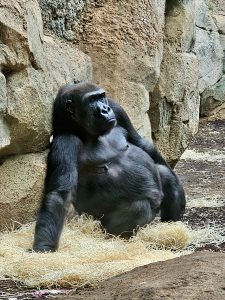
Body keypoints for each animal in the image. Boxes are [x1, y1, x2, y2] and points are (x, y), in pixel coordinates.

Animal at [32, 81, 185, 251]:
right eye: (91, 100)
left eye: (101, 97)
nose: (105, 109)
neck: (81, 130)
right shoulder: (65, 142)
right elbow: (60, 194)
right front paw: (44, 246)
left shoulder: (117, 109)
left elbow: (142, 144)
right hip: (99, 223)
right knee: (140, 207)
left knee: (165, 175)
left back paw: (170, 225)